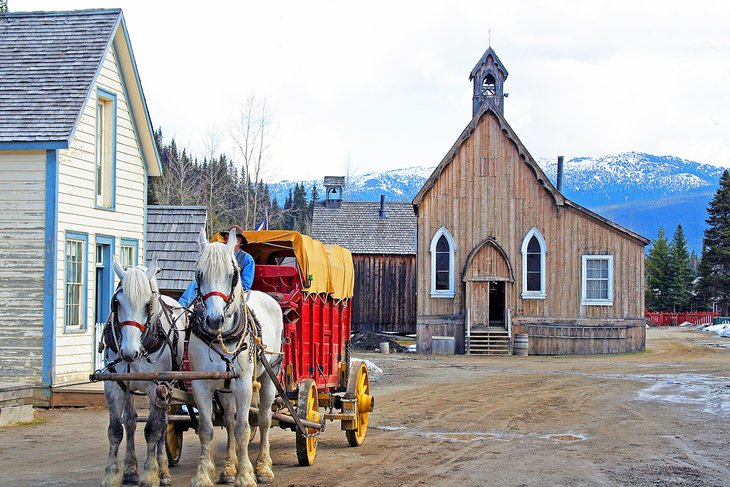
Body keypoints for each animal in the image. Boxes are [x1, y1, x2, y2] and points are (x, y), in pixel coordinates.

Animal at [101, 260, 186, 487]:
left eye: (148, 304)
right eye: (116, 303)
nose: (129, 352)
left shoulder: (156, 387)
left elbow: (152, 430)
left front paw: (150, 475)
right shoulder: (114, 385)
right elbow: (116, 429)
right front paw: (113, 474)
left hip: (167, 387)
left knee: (163, 424)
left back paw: (163, 471)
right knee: (131, 422)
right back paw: (131, 470)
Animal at [189, 230, 282, 487]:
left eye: (233, 275)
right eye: (199, 274)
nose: (214, 320)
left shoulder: (243, 384)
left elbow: (244, 428)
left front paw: (246, 475)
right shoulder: (201, 384)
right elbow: (207, 428)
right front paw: (204, 475)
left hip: (269, 375)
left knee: (264, 419)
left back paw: (263, 466)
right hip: (225, 388)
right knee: (229, 420)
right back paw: (229, 467)